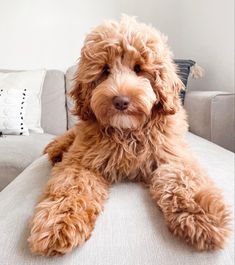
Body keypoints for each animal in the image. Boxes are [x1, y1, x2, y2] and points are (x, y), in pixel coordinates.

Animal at [27, 15, 229, 255]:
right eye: (105, 70)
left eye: (139, 68)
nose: (121, 101)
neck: (127, 132)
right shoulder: (80, 162)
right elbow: (71, 186)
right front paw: (58, 221)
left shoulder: (172, 157)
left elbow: (183, 181)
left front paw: (202, 214)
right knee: (68, 137)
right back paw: (56, 151)